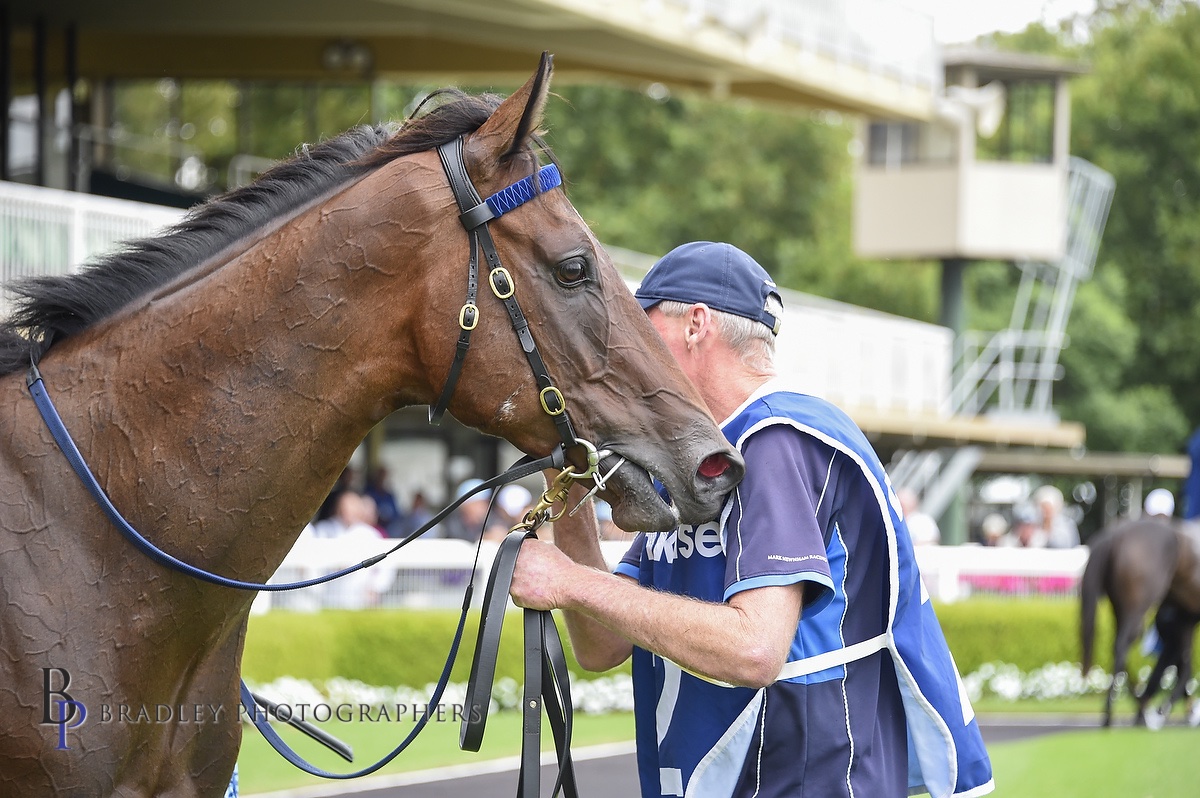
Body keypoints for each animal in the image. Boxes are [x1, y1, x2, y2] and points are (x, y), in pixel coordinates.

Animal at [1080, 513, 1200, 724]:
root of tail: (1116, 533)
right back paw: (1115, 713)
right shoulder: (1181, 619)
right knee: (1123, 646)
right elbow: (1179, 663)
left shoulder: (1183, 618)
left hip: (1121, 607)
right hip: (1138, 608)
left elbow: (1179, 662)